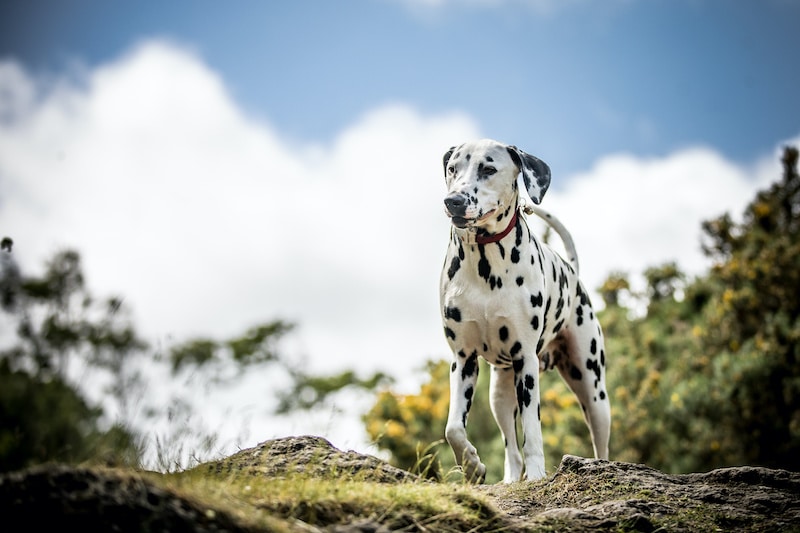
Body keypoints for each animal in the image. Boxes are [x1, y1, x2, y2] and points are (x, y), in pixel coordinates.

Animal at [440, 138, 608, 482]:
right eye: (452, 168)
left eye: (488, 169)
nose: (453, 201)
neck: (485, 263)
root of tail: (573, 273)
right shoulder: (463, 360)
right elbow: (453, 429)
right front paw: (472, 465)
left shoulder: (526, 362)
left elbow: (533, 431)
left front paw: (536, 475)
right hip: (500, 395)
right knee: (511, 448)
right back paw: (508, 479)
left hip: (593, 390)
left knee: (602, 445)